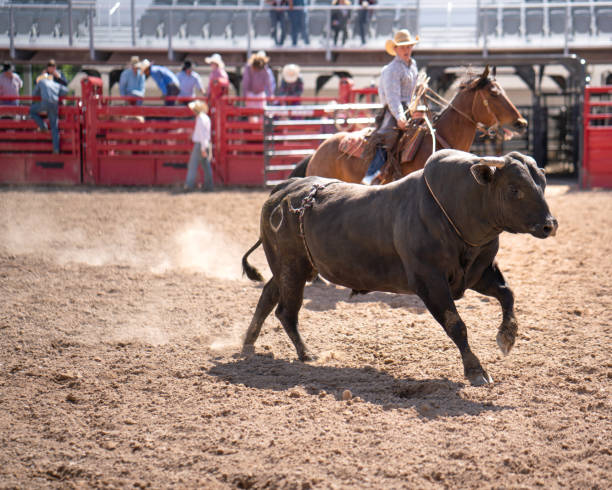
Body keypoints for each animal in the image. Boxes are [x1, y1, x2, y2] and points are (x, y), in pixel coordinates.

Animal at [241, 149, 556, 386]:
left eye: (542, 184)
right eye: (514, 189)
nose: (549, 225)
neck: (453, 209)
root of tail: (285, 189)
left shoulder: (478, 273)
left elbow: (507, 294)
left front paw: (507, 336)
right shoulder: (429, 281)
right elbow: (456, 324)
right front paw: (476, 371)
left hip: (291, 267)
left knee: (268, 296)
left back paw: (248, 344)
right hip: (292, 267)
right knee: (286, 311)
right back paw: (306, 354)